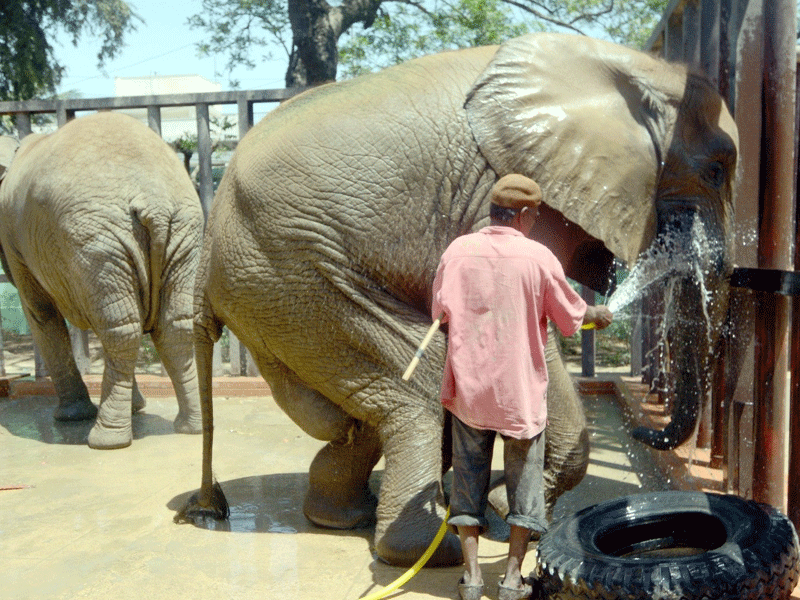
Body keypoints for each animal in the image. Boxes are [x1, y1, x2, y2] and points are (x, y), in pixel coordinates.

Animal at [178, 34, 740, 568]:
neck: (626, 67)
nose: (645, 433)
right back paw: (424, 549)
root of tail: (208, 248)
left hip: (276, 297)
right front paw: (506, 513)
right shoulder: (502, 190)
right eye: (716, 171)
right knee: (417, 390)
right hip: (296, 272)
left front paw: (504, 511)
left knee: (360, 411)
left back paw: (349, 516)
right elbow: (534, 331)